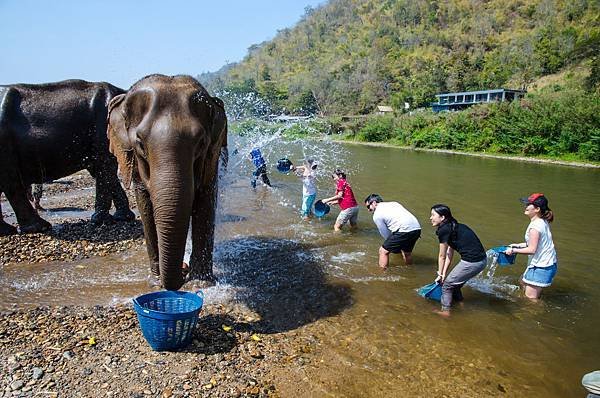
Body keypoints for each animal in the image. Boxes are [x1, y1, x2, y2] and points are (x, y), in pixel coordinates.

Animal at [0, 81, 135, 236]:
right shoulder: (103, 130)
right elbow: (105, 167)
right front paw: (103, 221)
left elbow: (102, 170)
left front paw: (121, 218)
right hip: (5, 145)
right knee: (12, 182)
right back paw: (40, 227)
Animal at [106, 74, 229, 290]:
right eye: (140, 143)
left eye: (201, 143)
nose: (183, 269)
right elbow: (146, 207)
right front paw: (156, 283)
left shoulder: (212, 159)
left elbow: (205, 201)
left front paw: (200, 284)